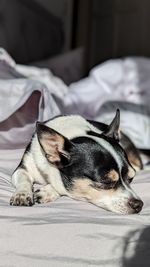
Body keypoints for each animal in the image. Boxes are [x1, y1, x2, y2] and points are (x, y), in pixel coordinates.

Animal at [9, 110, 144, 215]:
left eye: (131, 178)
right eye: (105, 181)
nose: (139, 205)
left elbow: (60, 186)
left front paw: (47, 191)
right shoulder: (22, 168)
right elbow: (24, 179)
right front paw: (22, 194)